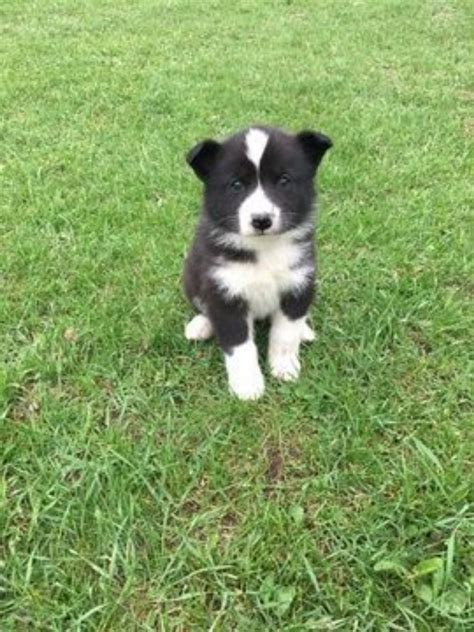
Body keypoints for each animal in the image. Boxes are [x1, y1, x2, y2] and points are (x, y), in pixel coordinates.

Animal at [183, 125, 332, 398]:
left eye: (284, 180)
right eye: (236, 185)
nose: (261, 220)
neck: (265, 249)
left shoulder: (299, 283)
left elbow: (285, 334)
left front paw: (284, 367)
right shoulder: (225, 293)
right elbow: (239, 345)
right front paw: (248, 386)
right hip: (191, 276)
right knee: (202, 306)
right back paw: (200, 326)